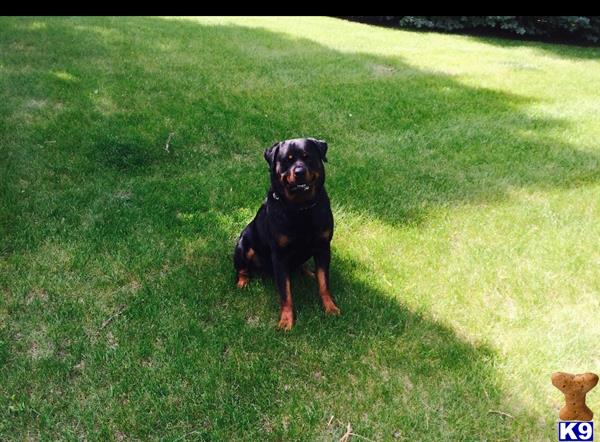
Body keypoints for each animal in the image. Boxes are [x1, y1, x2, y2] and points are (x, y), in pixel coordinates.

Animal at [233, 137, 340, 328]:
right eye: (287, 160)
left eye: (307, 157)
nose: (299, 171)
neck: (301, 208)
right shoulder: (280, 256)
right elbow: (286, 293)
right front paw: (286, 320)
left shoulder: (323, 248)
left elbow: (324, 283)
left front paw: (330, 307)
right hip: (243, 245)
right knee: (242, 268)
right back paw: (243, 282)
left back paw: (308, 273)